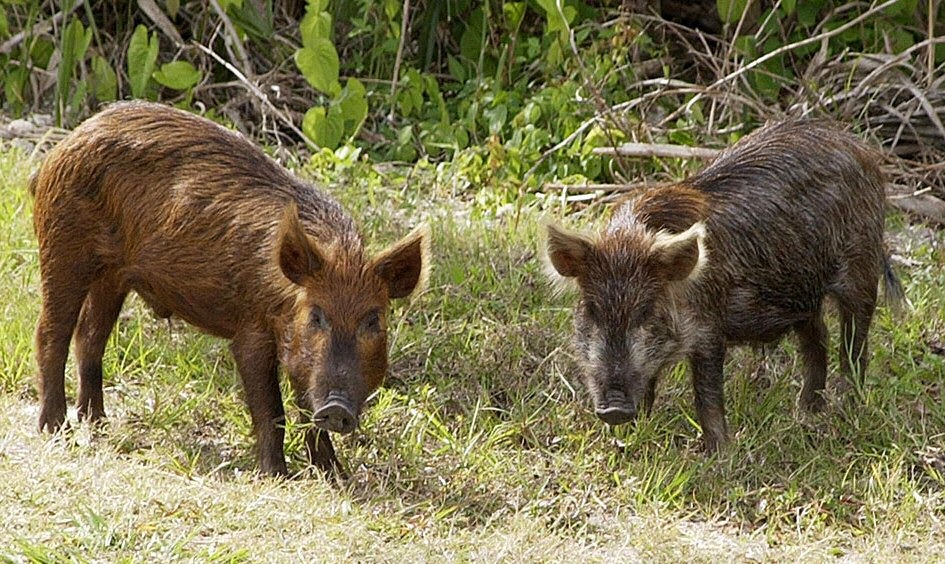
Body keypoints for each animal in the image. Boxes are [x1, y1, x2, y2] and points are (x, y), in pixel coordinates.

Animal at [31, 101, 429, 476]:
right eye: (316, 316)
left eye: (373, 321)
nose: (337, 408)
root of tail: (63, 145)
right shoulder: (251, 330)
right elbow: (271, 408)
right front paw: (276, 476)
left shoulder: (299, 354)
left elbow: (305, 409)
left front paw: (336, 476)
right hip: (63, 246)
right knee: (52, 332)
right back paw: (56, 428)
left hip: (113, 276)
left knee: (90, 336)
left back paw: (97, 422)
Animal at [544, 120, 904, 452]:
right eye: (592, 310)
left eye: (646, 311)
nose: (614, 409)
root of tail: (862, 149)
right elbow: (649, 385)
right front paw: (629, 438)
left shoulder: (708, 330)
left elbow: (707, 395)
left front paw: (718, 454)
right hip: (803, 296)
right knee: (818, 339)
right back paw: (807, 412)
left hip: (860, 271)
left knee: (854, 346)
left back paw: (847, 408)